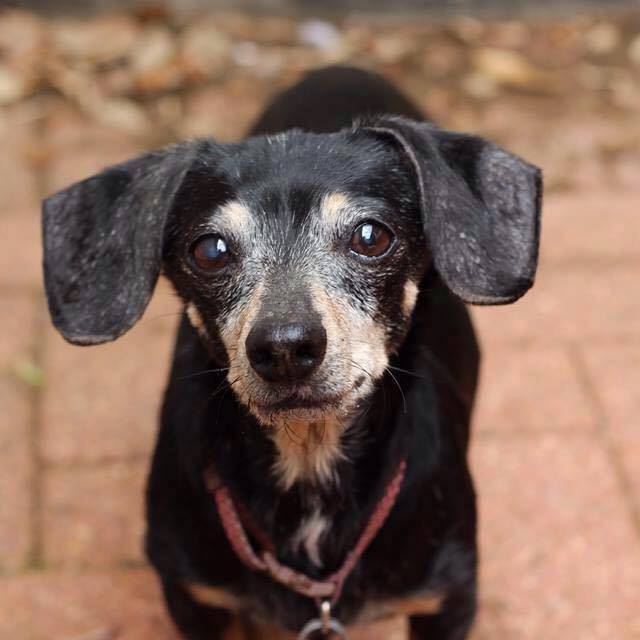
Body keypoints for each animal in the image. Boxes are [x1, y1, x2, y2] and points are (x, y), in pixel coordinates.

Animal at [41, 66, 540, 640]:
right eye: (209, 250)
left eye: (371, 236)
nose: (284, 347)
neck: (308, 463)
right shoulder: (192, 597)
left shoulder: (447, 599)